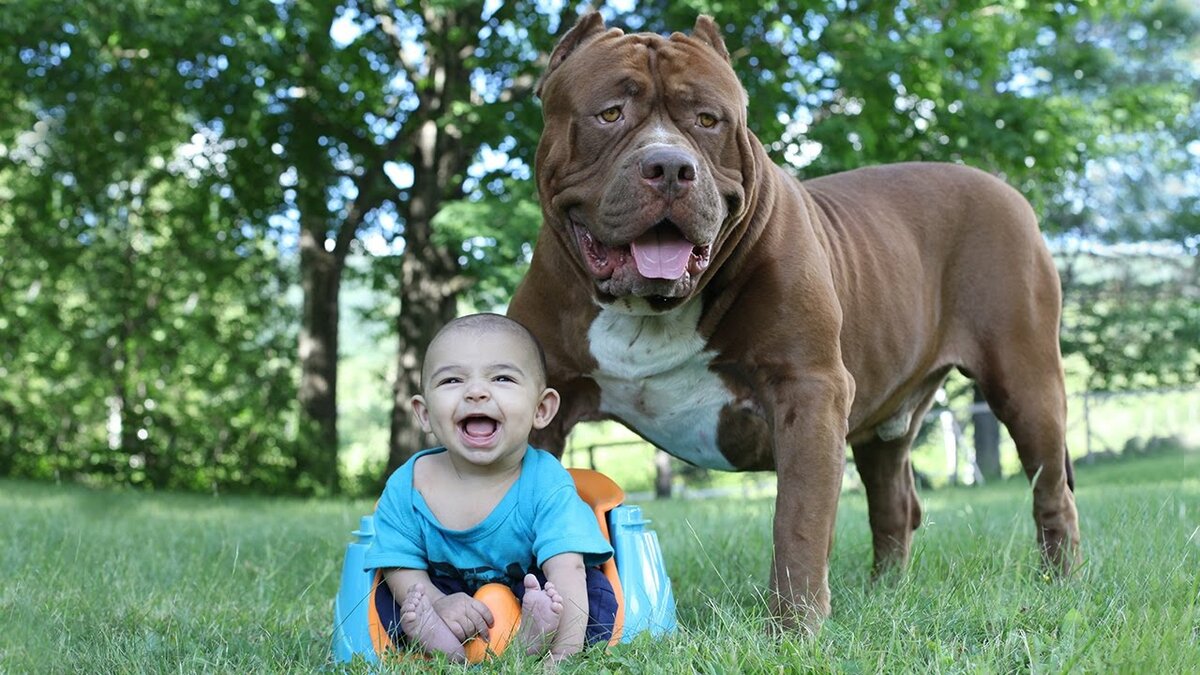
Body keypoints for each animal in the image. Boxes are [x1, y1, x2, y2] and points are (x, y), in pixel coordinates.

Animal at [506, 13, 1080, 629]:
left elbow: (799, 519)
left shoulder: (809, 388)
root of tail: (1003, 187)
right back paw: (885, 593)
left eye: (707, 120)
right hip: (887, 424)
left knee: (1051, 489)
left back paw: (1060, 583)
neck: (648, 309)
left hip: (1026, 381)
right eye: (610, 113)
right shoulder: (545, 408)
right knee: (895, 502)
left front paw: (795, 627)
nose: (670, 167)